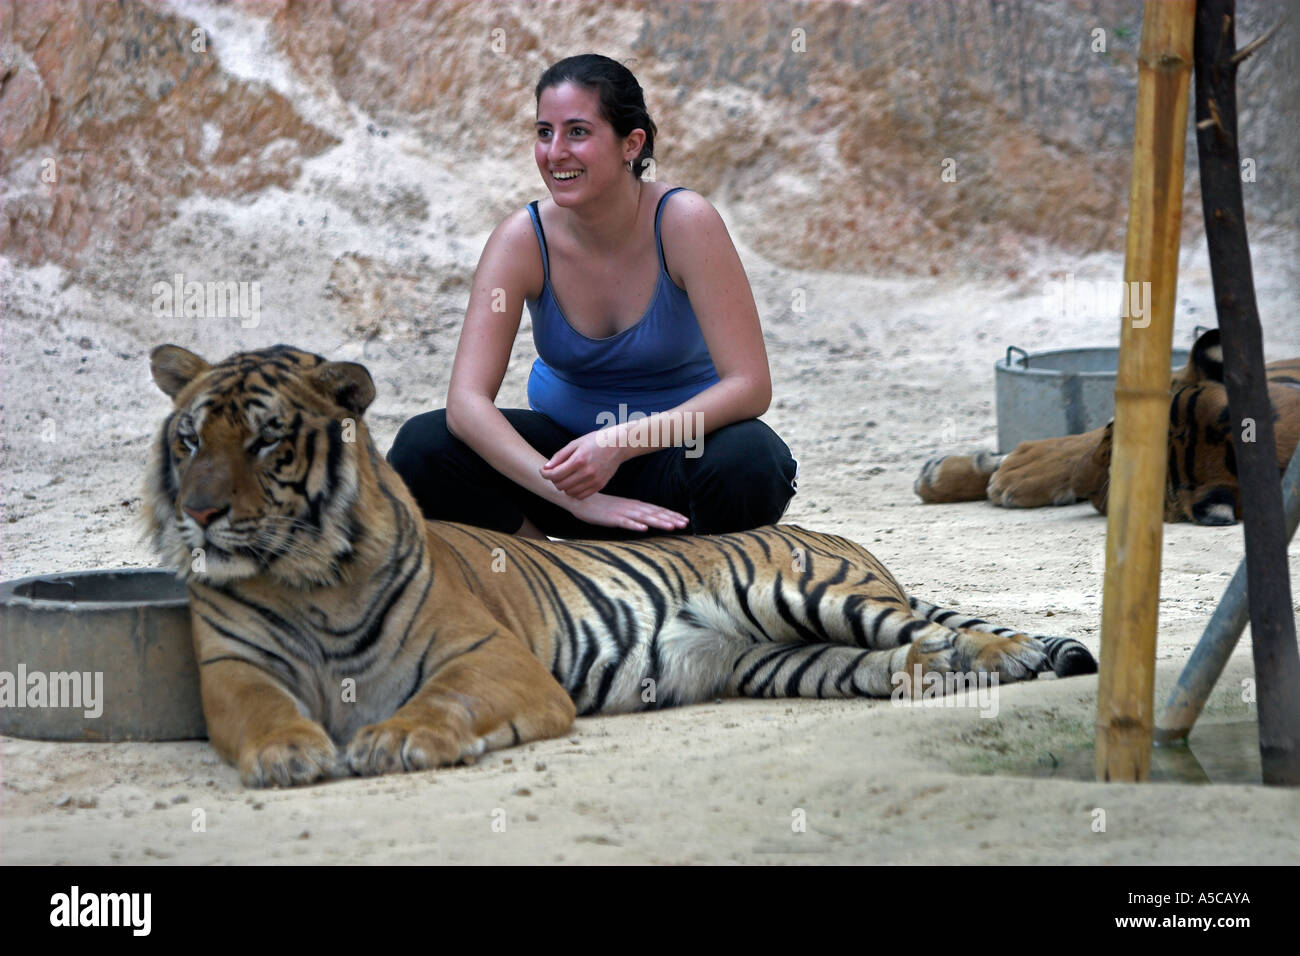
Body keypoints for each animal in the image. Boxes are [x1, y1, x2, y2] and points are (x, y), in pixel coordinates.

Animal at [144, 343, 1097, 788]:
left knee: (930, 628)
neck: (311, 577)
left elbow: (441, 702)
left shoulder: (492, 661)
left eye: (266, 442)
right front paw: (289, 756)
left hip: (803, 590)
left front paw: (396, 739)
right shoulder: (233, 671)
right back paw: (930, 669)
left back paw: (1008, 655)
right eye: (188, 440)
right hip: (781, 660)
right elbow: (266, 715)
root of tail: (847, 540)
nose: (201, 512)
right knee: (888, 659)